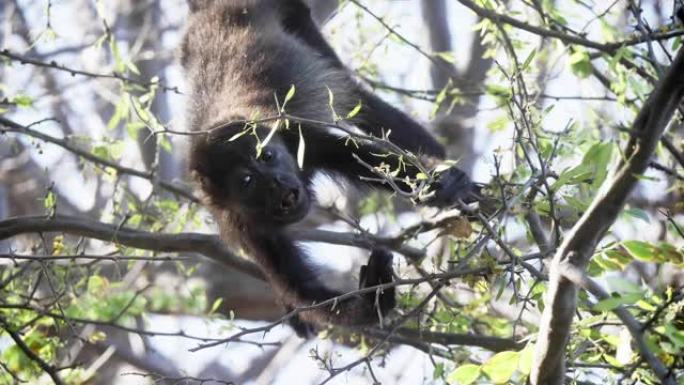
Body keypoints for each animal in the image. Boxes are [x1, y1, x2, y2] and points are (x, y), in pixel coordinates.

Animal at [182, 0, 480, 330]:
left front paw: (441, 184)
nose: (277, 181)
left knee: (357, 97)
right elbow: (308, 292)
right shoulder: (245, 226)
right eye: (247, 180)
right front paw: (373, 298)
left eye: (268, 156)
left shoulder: (301, 138)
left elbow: (360, 157)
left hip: (293, 16)